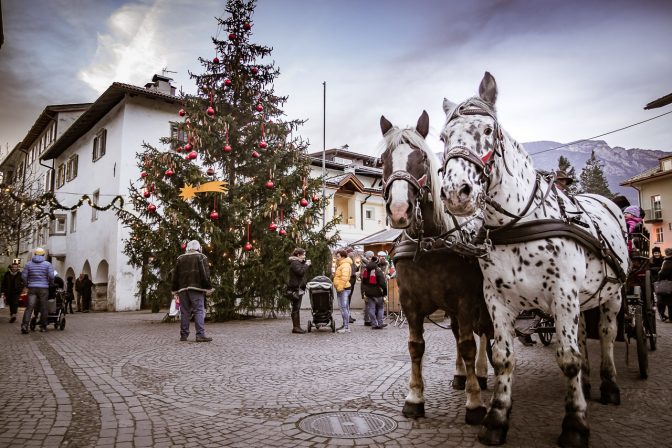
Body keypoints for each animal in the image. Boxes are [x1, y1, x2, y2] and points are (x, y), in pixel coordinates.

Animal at [378, 110, 494, 426]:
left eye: (421, 158)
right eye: (383, 159)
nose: (399, 211)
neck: (430, 241)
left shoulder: (466, 299)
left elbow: (468, 344)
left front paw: (474, 402)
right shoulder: (410, 304)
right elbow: (416, 347)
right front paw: (414, 398)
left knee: (482, 333)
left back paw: (479, 374)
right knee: (457, 333)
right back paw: (460, 375)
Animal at [438, 72, 628, 446]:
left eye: (487, 130)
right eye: (443, 137)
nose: (456, 192)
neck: (520, 223)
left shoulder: (563, 293)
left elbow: (568, 359)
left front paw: (575, 424)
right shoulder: (497, 300)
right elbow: (502, 357)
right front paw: (497, 418)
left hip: (612, 295)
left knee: (607, 334)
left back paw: (609, 384)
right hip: (582, 300)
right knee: (583, 335)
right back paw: (586, 384)